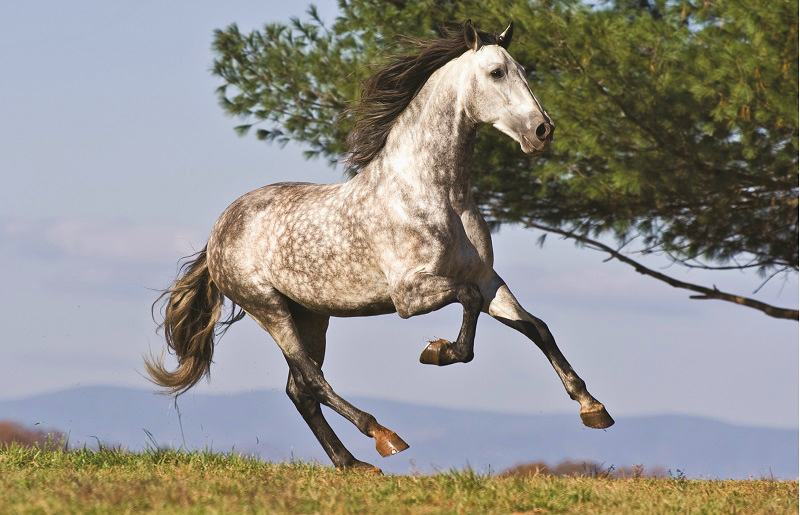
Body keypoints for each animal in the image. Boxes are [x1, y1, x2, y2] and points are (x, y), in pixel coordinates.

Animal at [146, 20, 614, 473]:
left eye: (523, 70)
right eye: (496, 72)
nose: (543, 131)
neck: (440, 194)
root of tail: (219, 230)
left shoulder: (487, 280)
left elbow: (536, 327)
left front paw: (592, 408)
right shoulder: (409, 294)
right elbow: (465, 311)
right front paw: (437, 352)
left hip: (311, 315)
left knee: (299, 389)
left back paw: (352, 463)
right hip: (269, 309)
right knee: (312, 381)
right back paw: (383, 436)